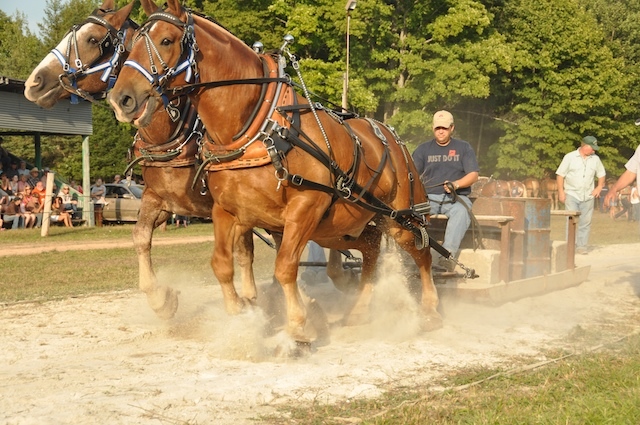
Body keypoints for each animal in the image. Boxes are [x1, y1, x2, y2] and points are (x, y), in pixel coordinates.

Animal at [22, 0, 258, 318]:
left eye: (93, 39)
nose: (34, 82)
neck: (173, 133)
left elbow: (243, 252)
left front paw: (249, 302)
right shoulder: (159, 200)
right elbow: (140, 235)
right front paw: (161, 298)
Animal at [107, 0, 442, 342]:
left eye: (166, 41)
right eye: (131, 45)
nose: (121, 98)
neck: (257, 128)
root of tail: (391, 135)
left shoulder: (304, 208)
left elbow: (284, 266)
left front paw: (297, 326)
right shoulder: (225, 210)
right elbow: (222, 263)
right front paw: (240, 311)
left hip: (398, 219)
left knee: (423, 254)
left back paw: (430, 311)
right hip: (339, 228)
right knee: (371, 249)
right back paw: (359, 311)